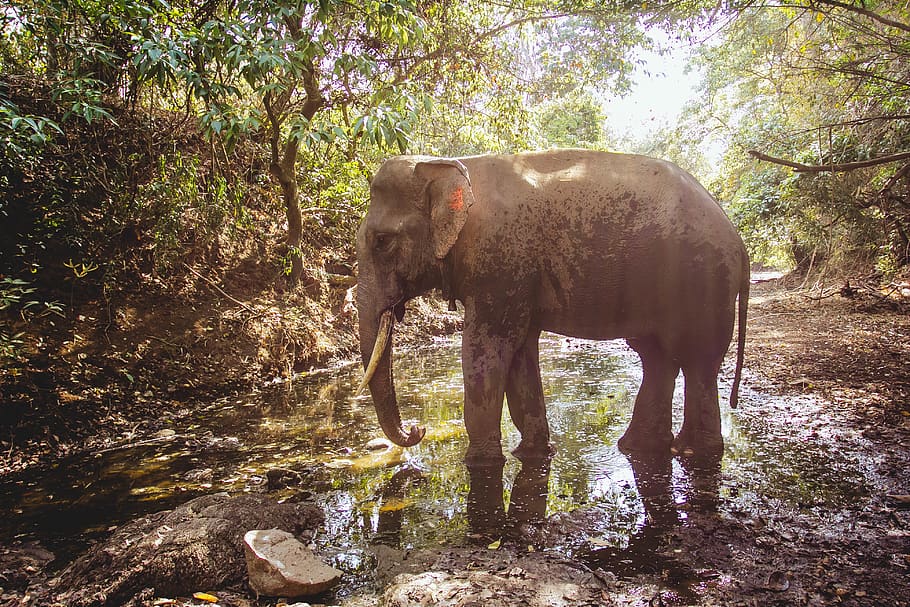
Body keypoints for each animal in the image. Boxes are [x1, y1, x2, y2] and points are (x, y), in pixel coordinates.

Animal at [356, 149, 749, 465]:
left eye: (382, 241)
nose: (418, 429)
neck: (453, 163)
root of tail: (739, 240)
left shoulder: (501, 261)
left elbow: (485, 350)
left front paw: (481, 463)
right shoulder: (516, 278)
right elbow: (520, 353)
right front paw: (532, 454)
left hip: (702, 282)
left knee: (697, 363)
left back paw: (695, 454)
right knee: (659, 359)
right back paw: (640, 447)